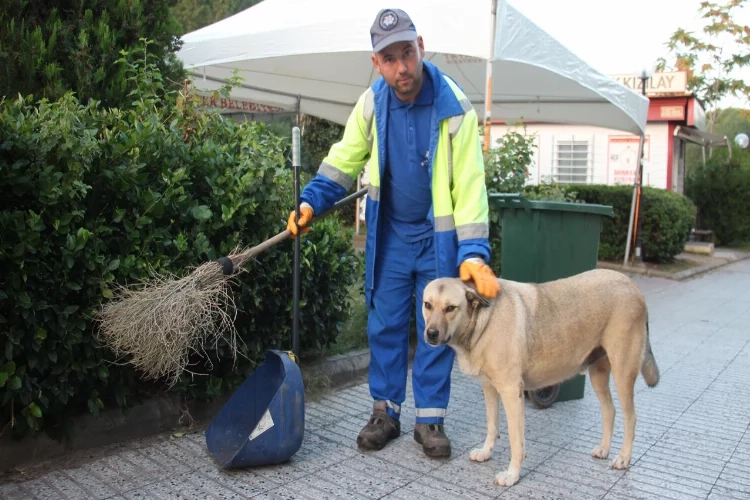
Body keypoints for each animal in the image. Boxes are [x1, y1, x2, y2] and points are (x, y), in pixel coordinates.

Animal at [426, 270, 660, 488]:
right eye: (427, 305)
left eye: (450, 308)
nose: (431, 334)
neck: (483, 321)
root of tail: (632, 285)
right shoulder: (490, 388)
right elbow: (492, 425)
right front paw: (486, 452)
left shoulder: (511, 392)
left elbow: (515, 440)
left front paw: (512, 474)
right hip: (598, 374)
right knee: (609, 410)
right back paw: (604, 448)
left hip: (623, 373)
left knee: (631, 417)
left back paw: (623, 458)